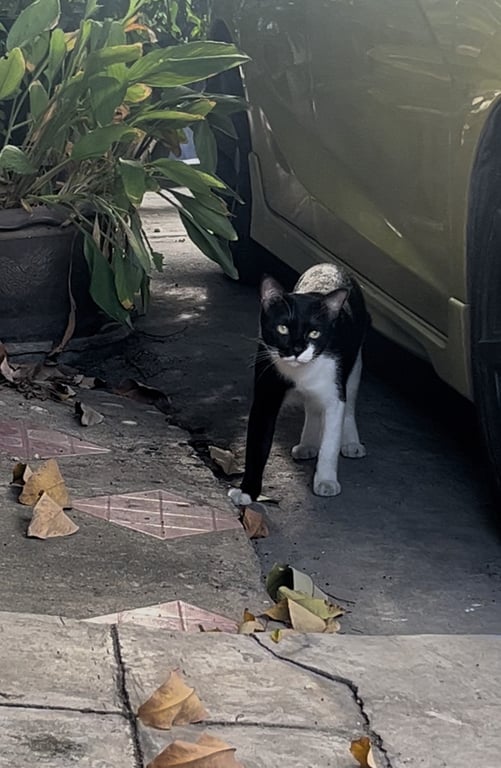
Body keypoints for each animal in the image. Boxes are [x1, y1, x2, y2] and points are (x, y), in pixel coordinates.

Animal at [229, 263, 370, 505]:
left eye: (314, 333)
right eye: (282, 328)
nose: (296, 349)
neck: (301, 373)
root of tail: (330, 264)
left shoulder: (334, 396)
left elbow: (330, 444)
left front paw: (326, 481)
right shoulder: (266, 395)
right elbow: (257, 445)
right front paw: (247, 491)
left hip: (354, 365)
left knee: (349, 403)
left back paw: (351, 443)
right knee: (312, 407)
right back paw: (307, 445)